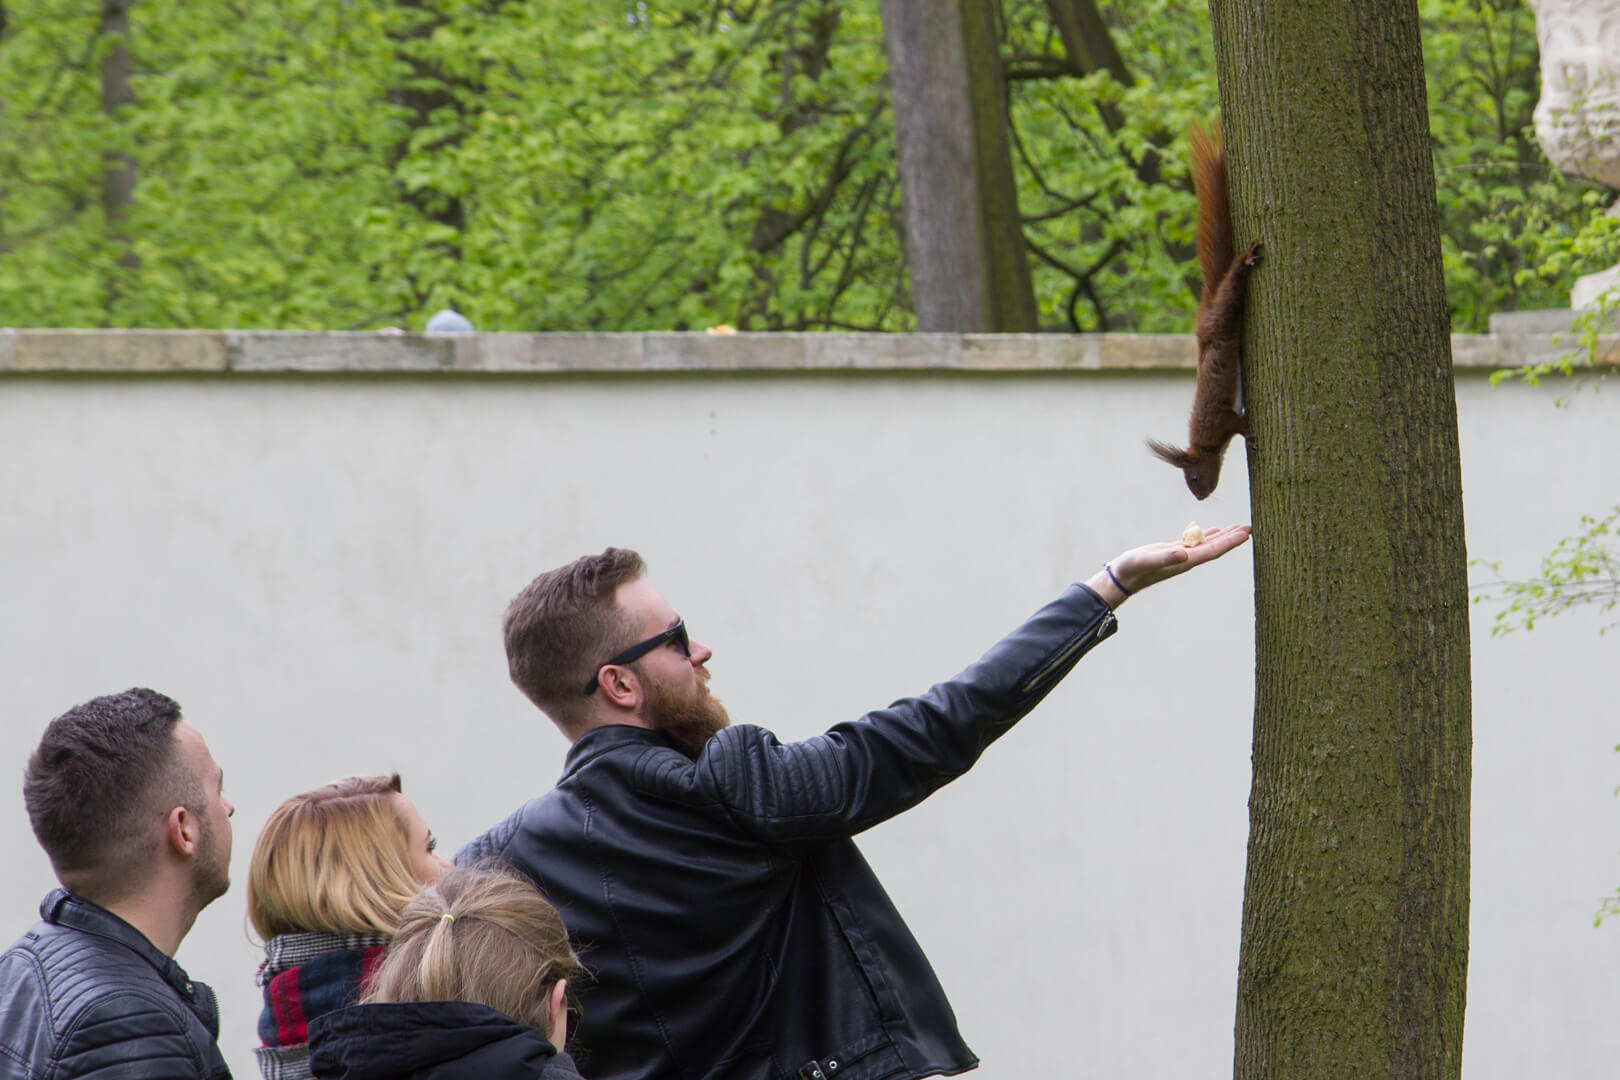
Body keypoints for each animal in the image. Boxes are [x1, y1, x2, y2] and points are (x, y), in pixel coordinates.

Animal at [1153, 120, 1263, 501]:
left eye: (1194, 477)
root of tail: (1203, 320)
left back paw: (1244, 262)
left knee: (1232, 290)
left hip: (1223, 315)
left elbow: (1238, 422)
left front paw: (1250, 436)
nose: (1200, 497)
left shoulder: (1218, 418)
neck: (1202, 444)